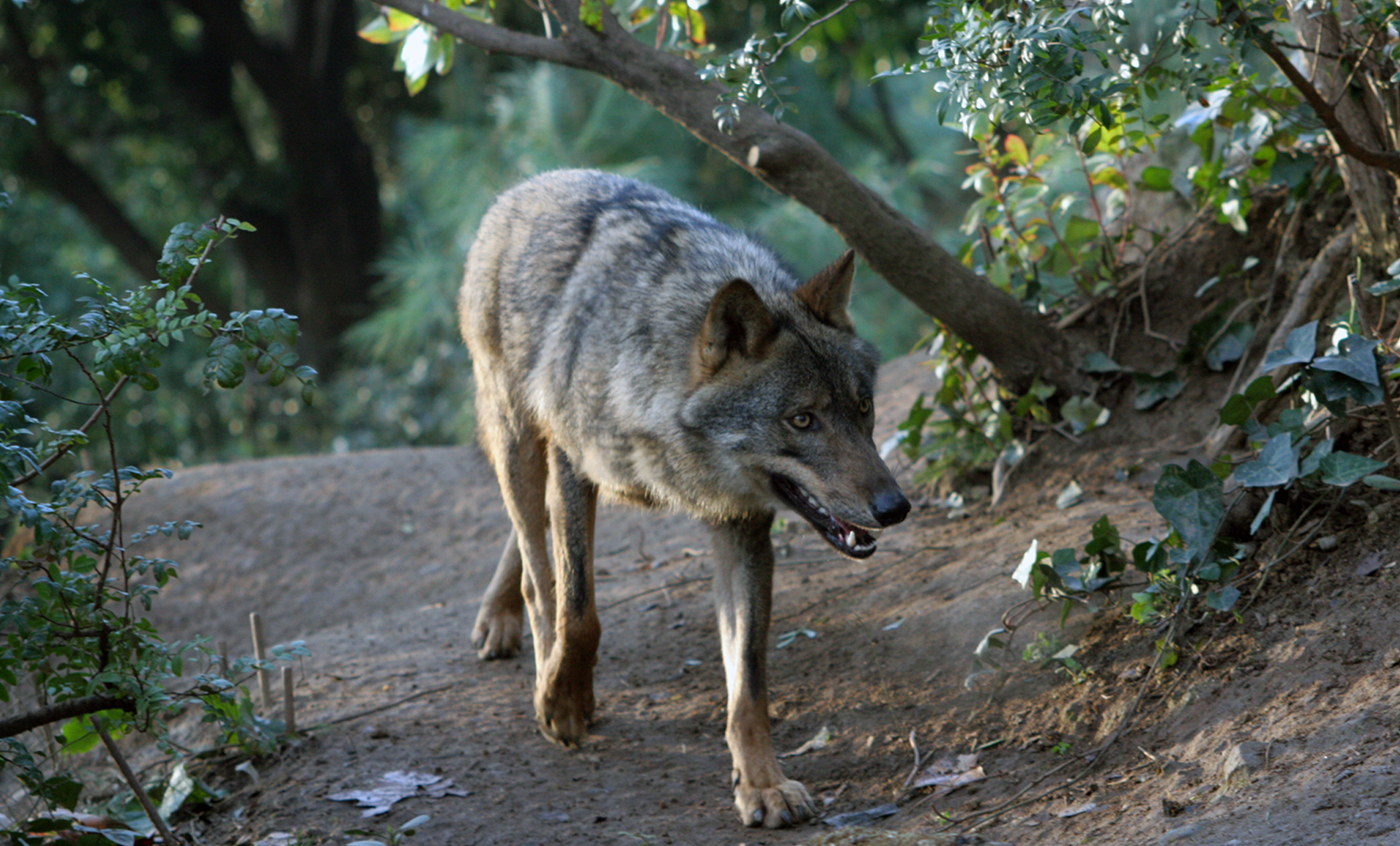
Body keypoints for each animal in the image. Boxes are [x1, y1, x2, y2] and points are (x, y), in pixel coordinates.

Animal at [464, 168, 912, 829]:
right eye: (802, 420)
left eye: (863, 409)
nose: (894, 508)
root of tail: (529, 185)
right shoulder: (573, 467)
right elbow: (578, 611)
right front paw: (562, 700)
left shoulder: (741, 525)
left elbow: (748, 684)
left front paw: (763, 785)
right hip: (518, 437)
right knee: (538, 572)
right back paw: (525, 641)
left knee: (525, 544)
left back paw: (500, 617)